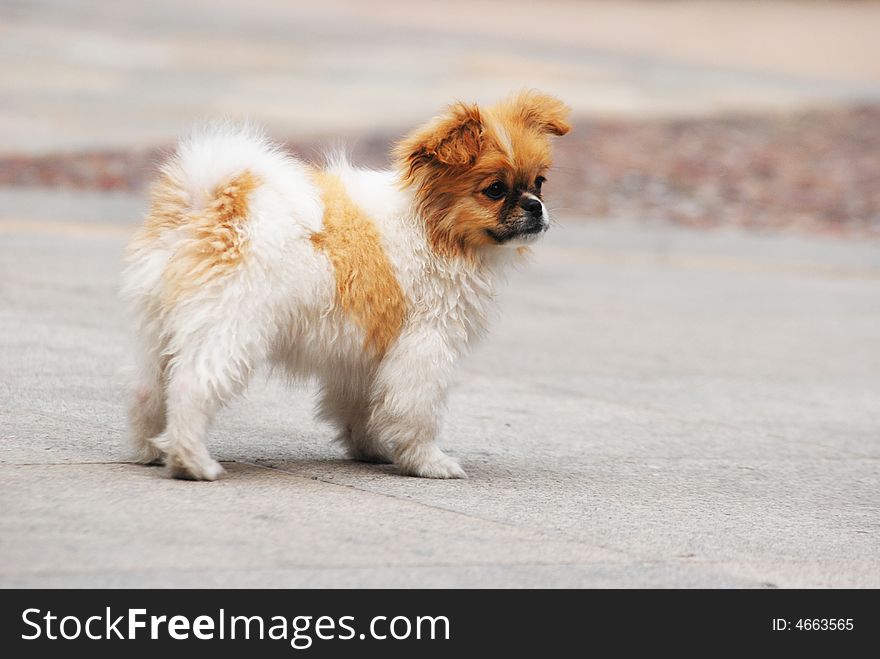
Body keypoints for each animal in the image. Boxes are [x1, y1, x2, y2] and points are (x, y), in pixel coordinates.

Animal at [122, 91, 572, 480]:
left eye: (539, 183)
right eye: (495, 190)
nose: (536, 207)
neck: (431, 227)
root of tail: (209, 205)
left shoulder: (364, 357)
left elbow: (363, 409)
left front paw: (370, 450)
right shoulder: (424, 346)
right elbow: (416, 411)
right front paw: (428, 462)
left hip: (161, 329)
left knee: (149, 392)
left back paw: (152, 451)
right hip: (230, 329)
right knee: (191, 387)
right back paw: (192, 462)